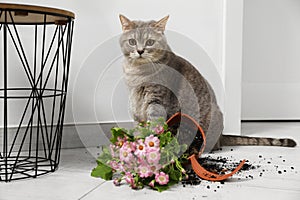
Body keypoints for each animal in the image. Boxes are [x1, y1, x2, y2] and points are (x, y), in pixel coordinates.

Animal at [118, 14, 296, 152]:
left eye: (150, 42)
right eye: (132, 42)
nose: (140, 51)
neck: (137, 71)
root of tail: (222, 136)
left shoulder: (157, 101)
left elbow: (153, 125)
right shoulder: (135, 105)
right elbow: (139, 127)